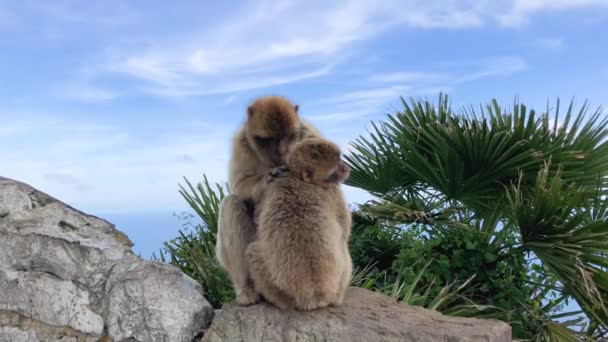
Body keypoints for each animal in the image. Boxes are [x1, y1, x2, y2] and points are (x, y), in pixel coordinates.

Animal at [215, 95, 320, 304]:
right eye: (270, 139)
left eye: (288, 136)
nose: (282, 151)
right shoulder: (241, 143)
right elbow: (238, 185)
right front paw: (268, 177)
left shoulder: (309, 135)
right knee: (232, 204)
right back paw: (246, 288)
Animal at [246, 138, 352, 312]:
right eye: (335, 167)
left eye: (339, 158)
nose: (345, 166)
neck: (298, 177)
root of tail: (314, 294)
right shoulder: (333, 192)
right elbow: (344, 230)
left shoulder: (273, 185)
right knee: (252, 250)